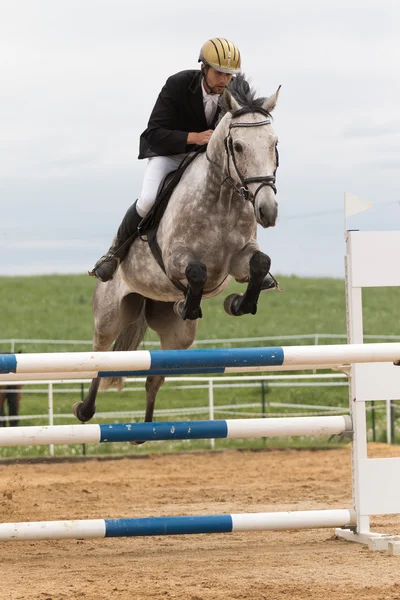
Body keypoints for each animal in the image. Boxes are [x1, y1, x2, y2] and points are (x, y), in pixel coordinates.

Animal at [74, 76, 282, 426]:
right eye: (238, 146)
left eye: (274, 144)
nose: (267, 211)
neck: (222, 198)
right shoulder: (175, 260)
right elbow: (196, 271)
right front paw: (189, 303)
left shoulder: (240, 258)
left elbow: (259, 264)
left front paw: (238, 303)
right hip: (110, 314)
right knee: (100, 356)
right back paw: (84, 409)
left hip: (177, 337)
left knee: (154, 377)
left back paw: (148, 429)